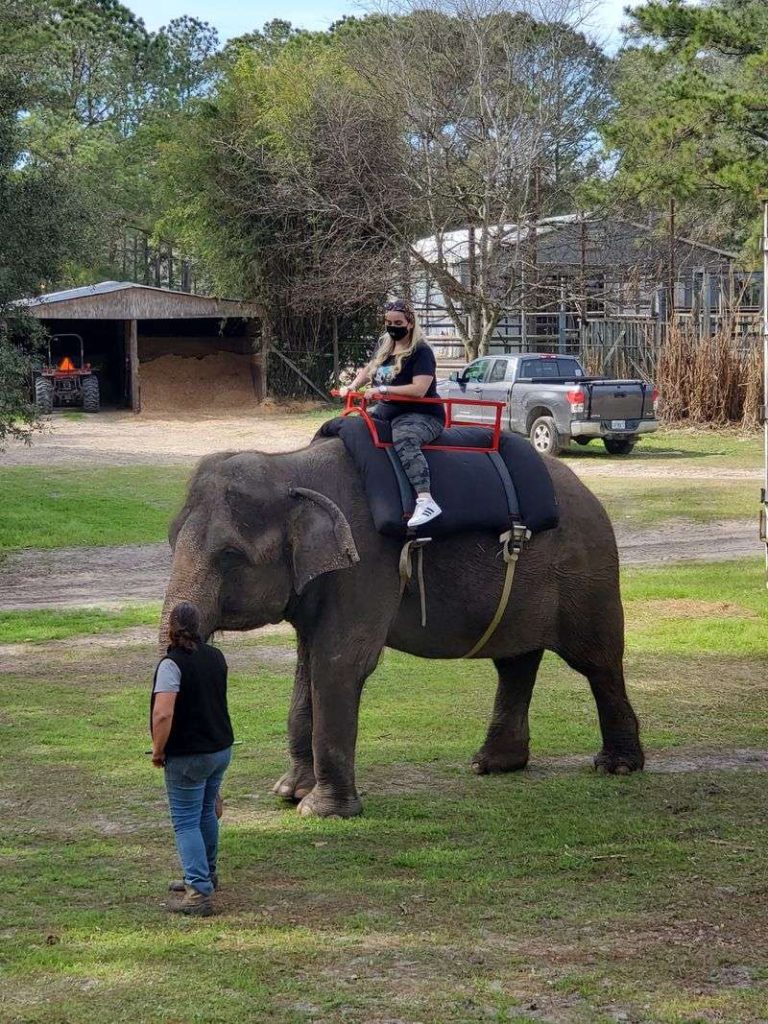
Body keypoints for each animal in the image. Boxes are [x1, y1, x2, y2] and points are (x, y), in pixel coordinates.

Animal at [160, 432, 644, 818]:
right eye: (170, 538)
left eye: (229, 556)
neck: (290, 466)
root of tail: (587, 489)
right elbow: (306, 667)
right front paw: (288, 792)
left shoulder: (366, 563)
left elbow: (340, 663)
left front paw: (319, 812)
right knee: (515, 663)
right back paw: (491, 764)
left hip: (587, 572)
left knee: (597, 661)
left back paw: (617, 766)